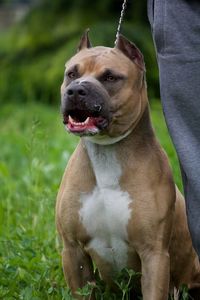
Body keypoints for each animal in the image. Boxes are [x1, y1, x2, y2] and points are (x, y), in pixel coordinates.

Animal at [55, 31, 200, 298]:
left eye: (110, 77)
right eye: (72, 73)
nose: (76, 90)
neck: (106, 153)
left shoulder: (154, 254)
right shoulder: (72, 251)